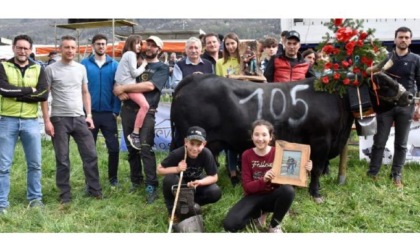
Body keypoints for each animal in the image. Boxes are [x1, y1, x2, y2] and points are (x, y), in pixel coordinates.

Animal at [171, 72, 414, 201]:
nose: (411, 95)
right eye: (382, 82)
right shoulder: (321, 141)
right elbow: (317, 168)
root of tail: (196, 78)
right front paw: (316, 193)